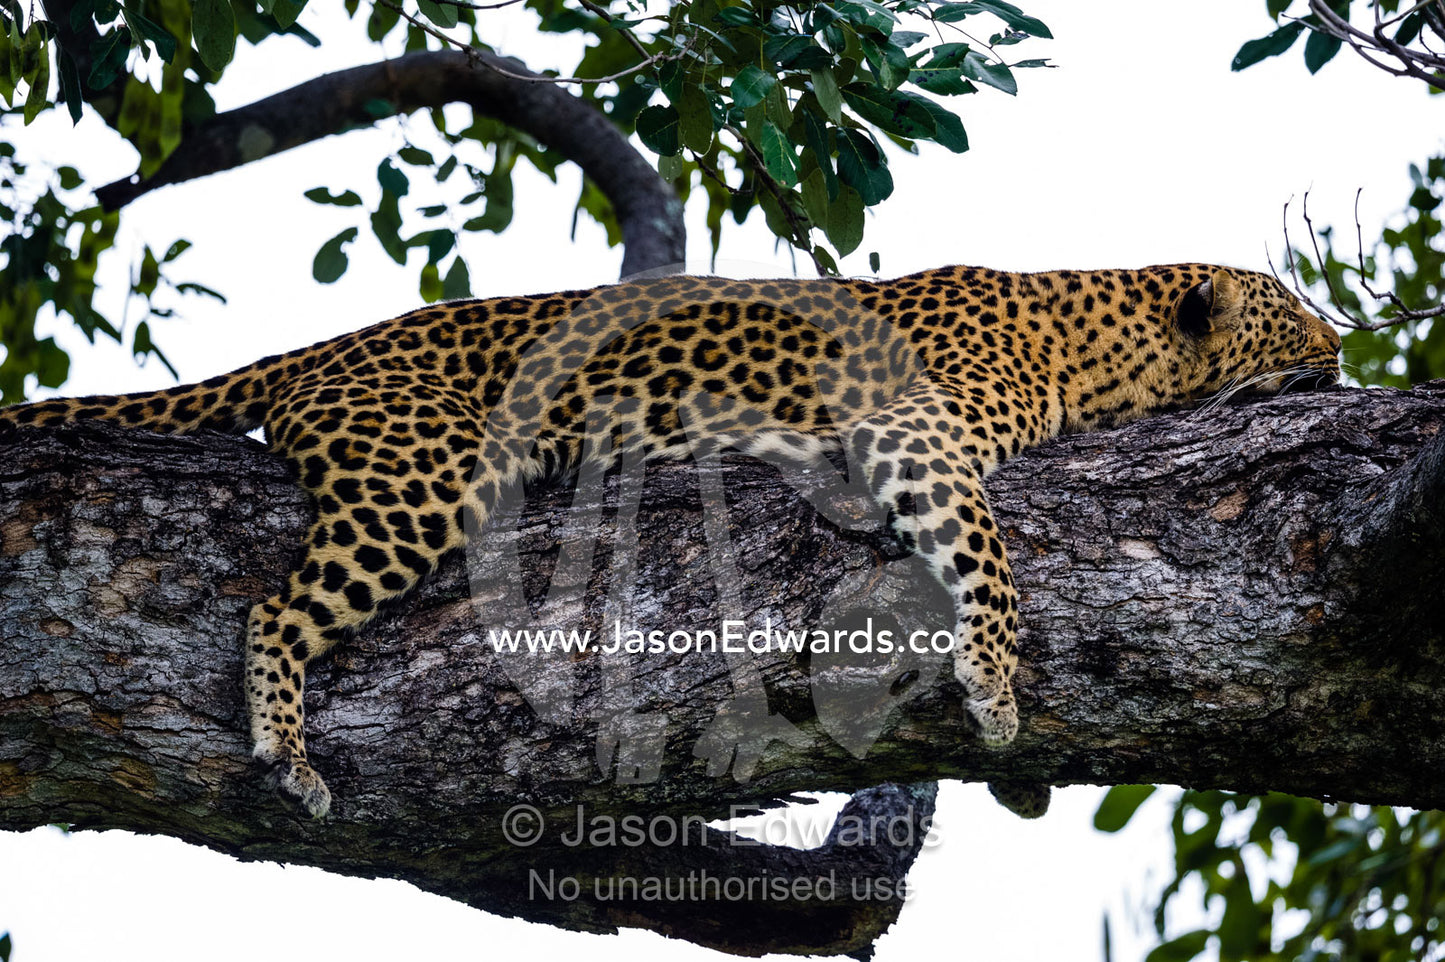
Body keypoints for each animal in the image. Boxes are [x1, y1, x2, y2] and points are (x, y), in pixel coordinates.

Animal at [0, 263, 1342, 820]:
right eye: (1300, 324)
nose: (1346, 362)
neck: (1098, 330)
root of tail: (330, 344)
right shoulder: (914, 427)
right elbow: (985, 545)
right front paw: (996, 680)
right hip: (427, 478)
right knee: (274, 606)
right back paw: (286, 747)